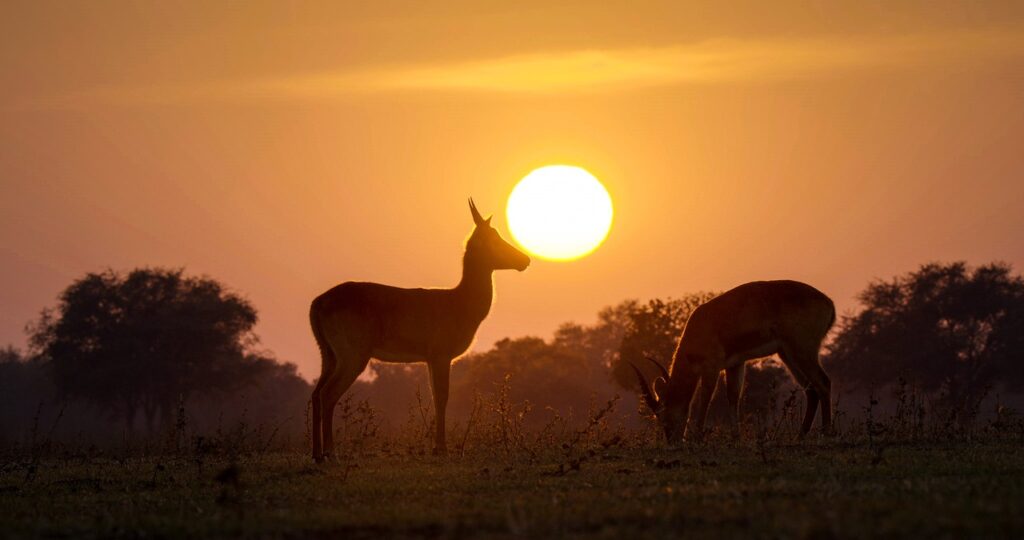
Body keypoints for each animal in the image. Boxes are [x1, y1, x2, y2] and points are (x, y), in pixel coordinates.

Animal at [309, 200, 532, 463]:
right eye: (494, 238)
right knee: (328, 394)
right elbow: (443, 396)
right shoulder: (441, 353)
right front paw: (443, 450)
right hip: (352, 353)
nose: (525, 259)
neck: (461, 305)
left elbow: (435, 396)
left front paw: (438, 448)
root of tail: (317, 304)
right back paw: (331, 454)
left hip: (328, 353)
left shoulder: (430, 357)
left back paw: (316, 454)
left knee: (316, 393)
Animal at [630, 280, 839, 446]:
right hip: (788, 354)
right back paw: (800, 436)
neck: (700, 327)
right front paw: (736, 438)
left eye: (663, 415)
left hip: (802, 350)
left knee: (823, 382)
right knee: (811, 389)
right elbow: (733, 396)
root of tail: (828, 302)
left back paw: (826, 434)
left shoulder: (712, 367)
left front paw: (697, 438)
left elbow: (706, 398)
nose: (673, 441)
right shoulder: (735, 364)